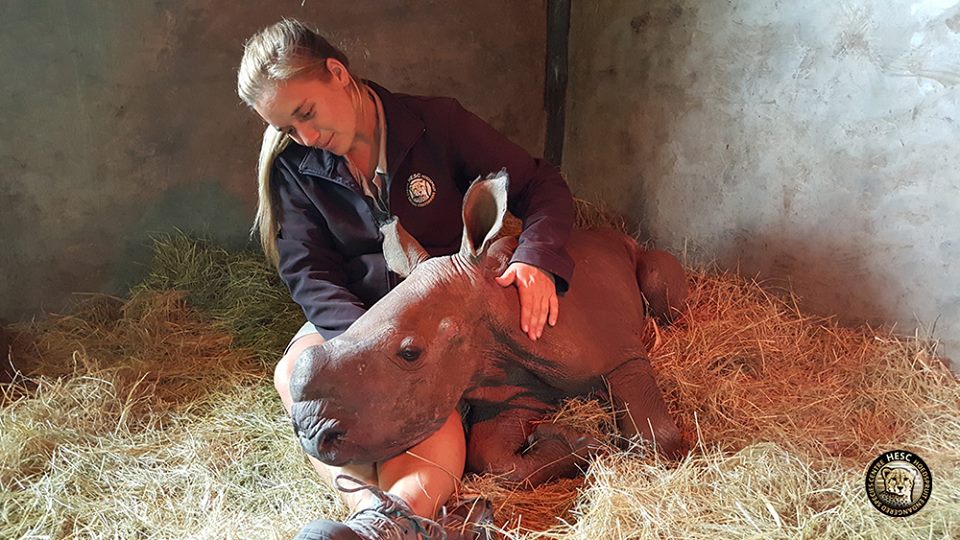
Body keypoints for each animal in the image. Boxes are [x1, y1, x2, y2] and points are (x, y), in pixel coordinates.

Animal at [288, 172, 687, 486]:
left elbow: (655, 438)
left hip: (640, 261)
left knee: (662, 290)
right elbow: (492, 459)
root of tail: (616, 235)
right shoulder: (516, 393)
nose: (310, 433)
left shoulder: (620, 356)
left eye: (410, 353)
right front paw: (574, 442)